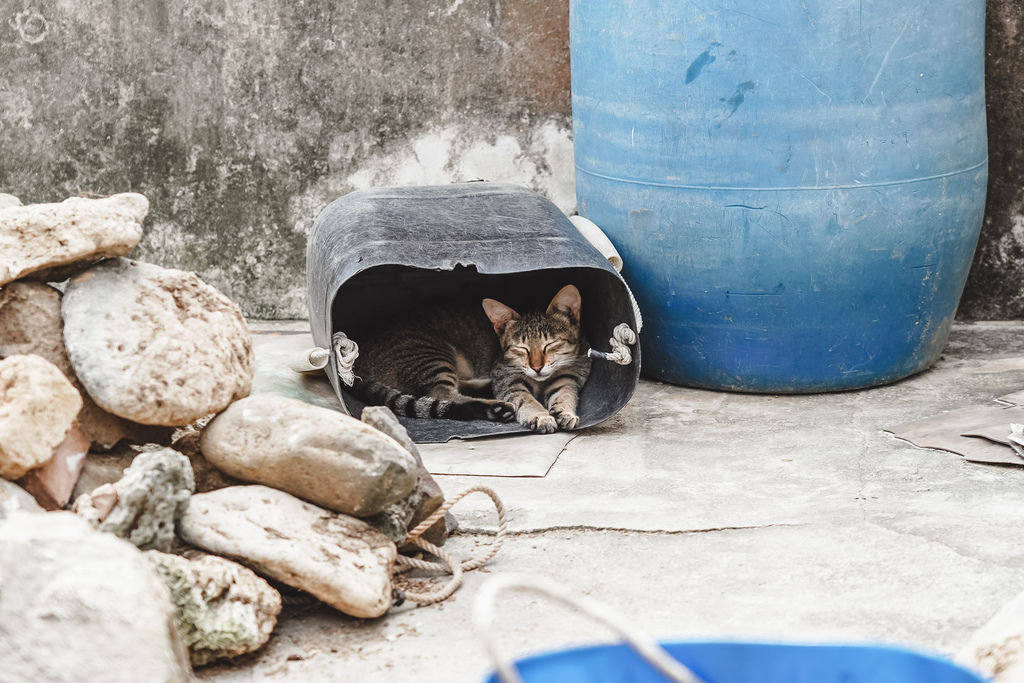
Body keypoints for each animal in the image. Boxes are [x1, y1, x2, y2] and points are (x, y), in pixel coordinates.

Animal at [352, 286, 593, 436]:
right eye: (520, 348)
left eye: (549, 345)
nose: (537, 367)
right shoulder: (507, 378)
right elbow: (526, 399)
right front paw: (540, 416)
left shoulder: (568, 378)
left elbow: (565, 394)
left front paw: (565, 412)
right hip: (432, 356)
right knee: (444, 395)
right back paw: (494, 407)